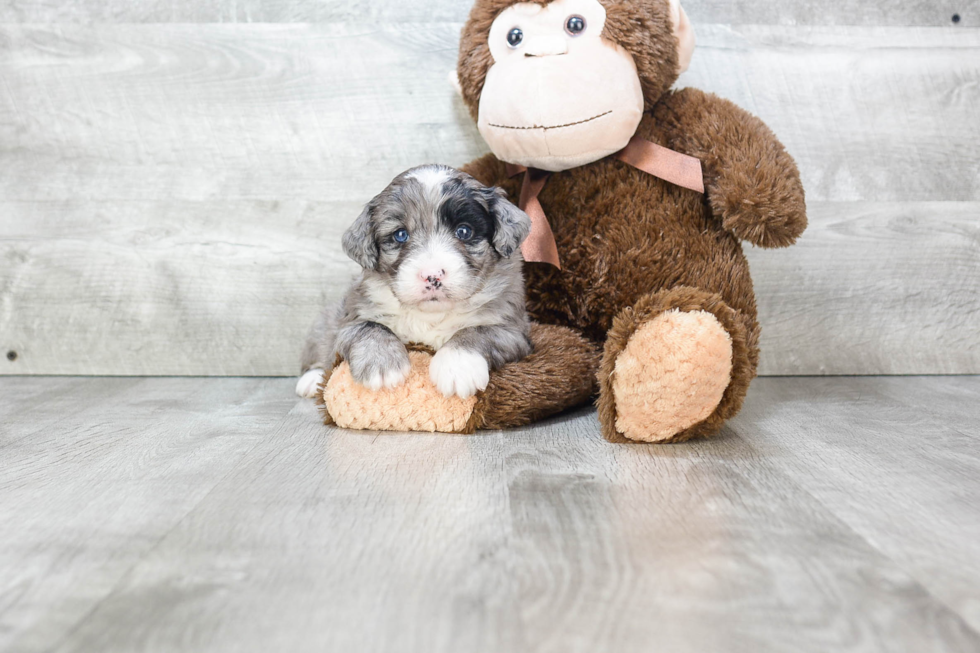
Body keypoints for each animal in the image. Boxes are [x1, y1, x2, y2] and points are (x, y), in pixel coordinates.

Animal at [294, 163, 532, 398]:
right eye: (400, 235)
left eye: (464, 231)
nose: (432, 275)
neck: (430, 315)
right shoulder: (350, 319)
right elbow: (368, 326)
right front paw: (382, 363)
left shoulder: (514, 330)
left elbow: (479, 331)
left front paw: (457, 366)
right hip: (323, 323)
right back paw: (312, 380)